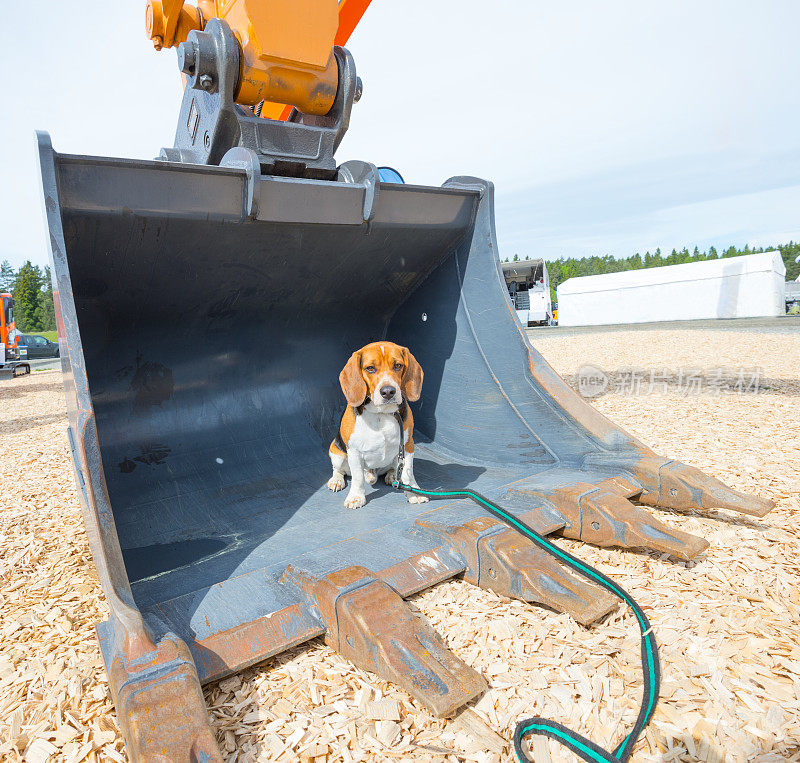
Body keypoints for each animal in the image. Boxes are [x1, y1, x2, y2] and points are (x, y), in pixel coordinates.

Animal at [328, 344, 428, 510]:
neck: (382, 413)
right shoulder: (354, 451)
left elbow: (408, 472)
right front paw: (356, 497)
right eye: (370, 368)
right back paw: (336, 480)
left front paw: (414, 492)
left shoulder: (408, 445)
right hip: (336, 452)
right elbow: (357, 478)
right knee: (338, 469)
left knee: (395, 468)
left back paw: (393, 475)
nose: (388, 391)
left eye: (398, 365)